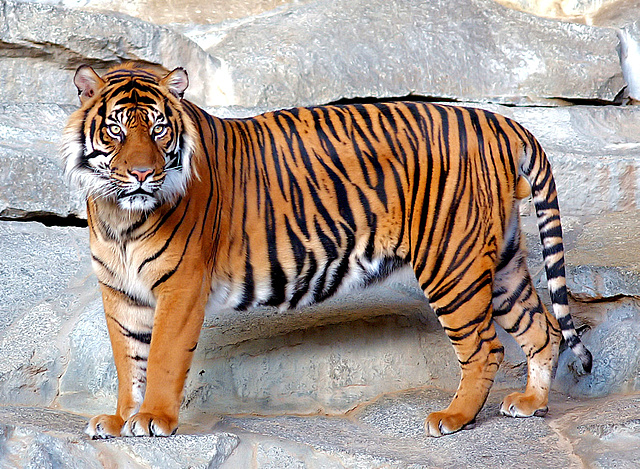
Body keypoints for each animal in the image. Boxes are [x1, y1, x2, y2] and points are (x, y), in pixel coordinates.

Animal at [61, 62, 592, 439]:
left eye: (159, 130)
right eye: (115, 130)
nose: (141, 174)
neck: (120, 216)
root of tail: (501, 121)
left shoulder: (181, 287)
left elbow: (163, 358)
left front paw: (153, 419)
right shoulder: (121, 292)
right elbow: (129, 360)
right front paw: (120, 419)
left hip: (451, 264)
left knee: (485, 347)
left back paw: (454, 417)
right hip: (500, 261)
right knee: (542, 329)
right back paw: (530, 404)